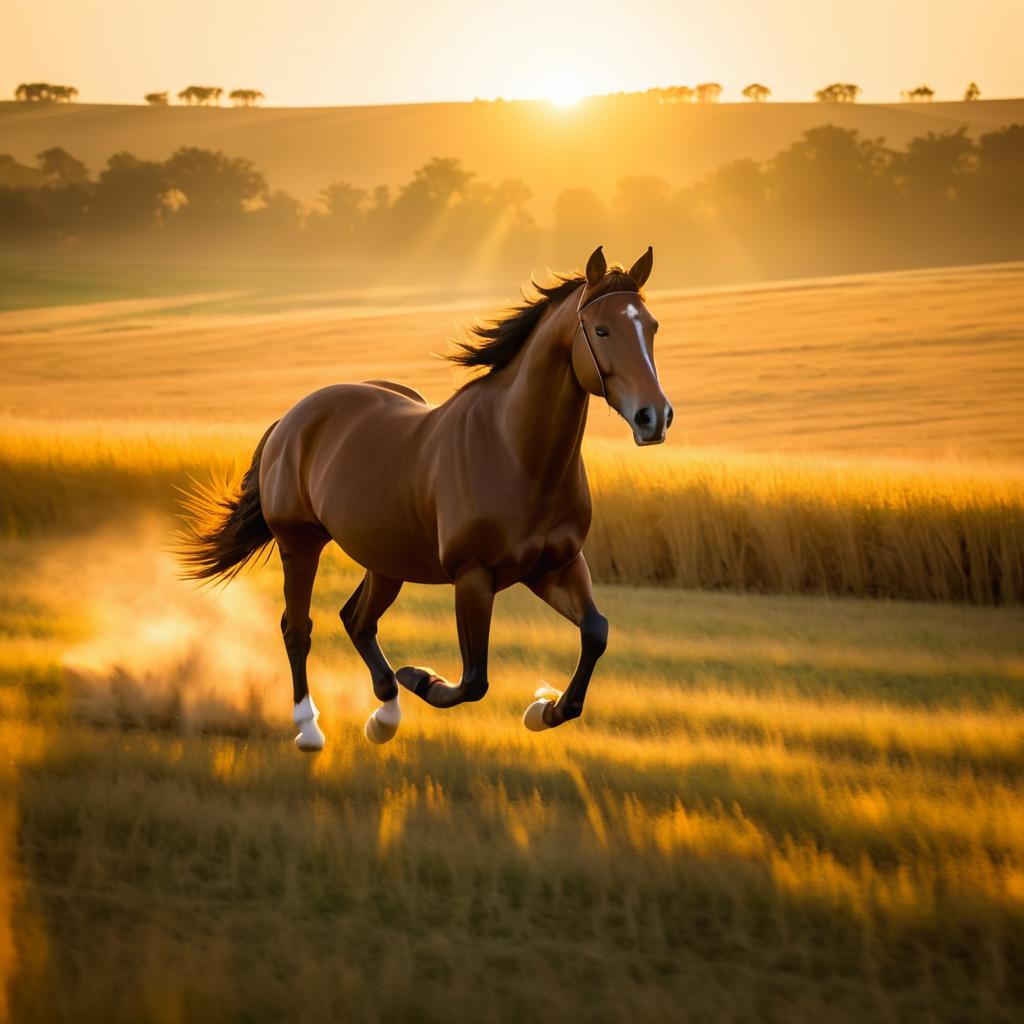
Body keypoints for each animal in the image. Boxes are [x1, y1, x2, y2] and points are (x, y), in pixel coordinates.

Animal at [180, 243, 675, 749]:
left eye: (652, 327)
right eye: (601, 329)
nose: (653, 417)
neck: (517, 453)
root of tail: (292, 419)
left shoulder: (557, 566)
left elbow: (596, 633)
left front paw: (543, 709)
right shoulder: (473, 577)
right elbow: (474, 680)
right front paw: (421, 677)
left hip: (385, 560)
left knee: (357, 619)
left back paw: (384, 717)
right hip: (300, 545)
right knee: (298, 628)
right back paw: (310, 728)